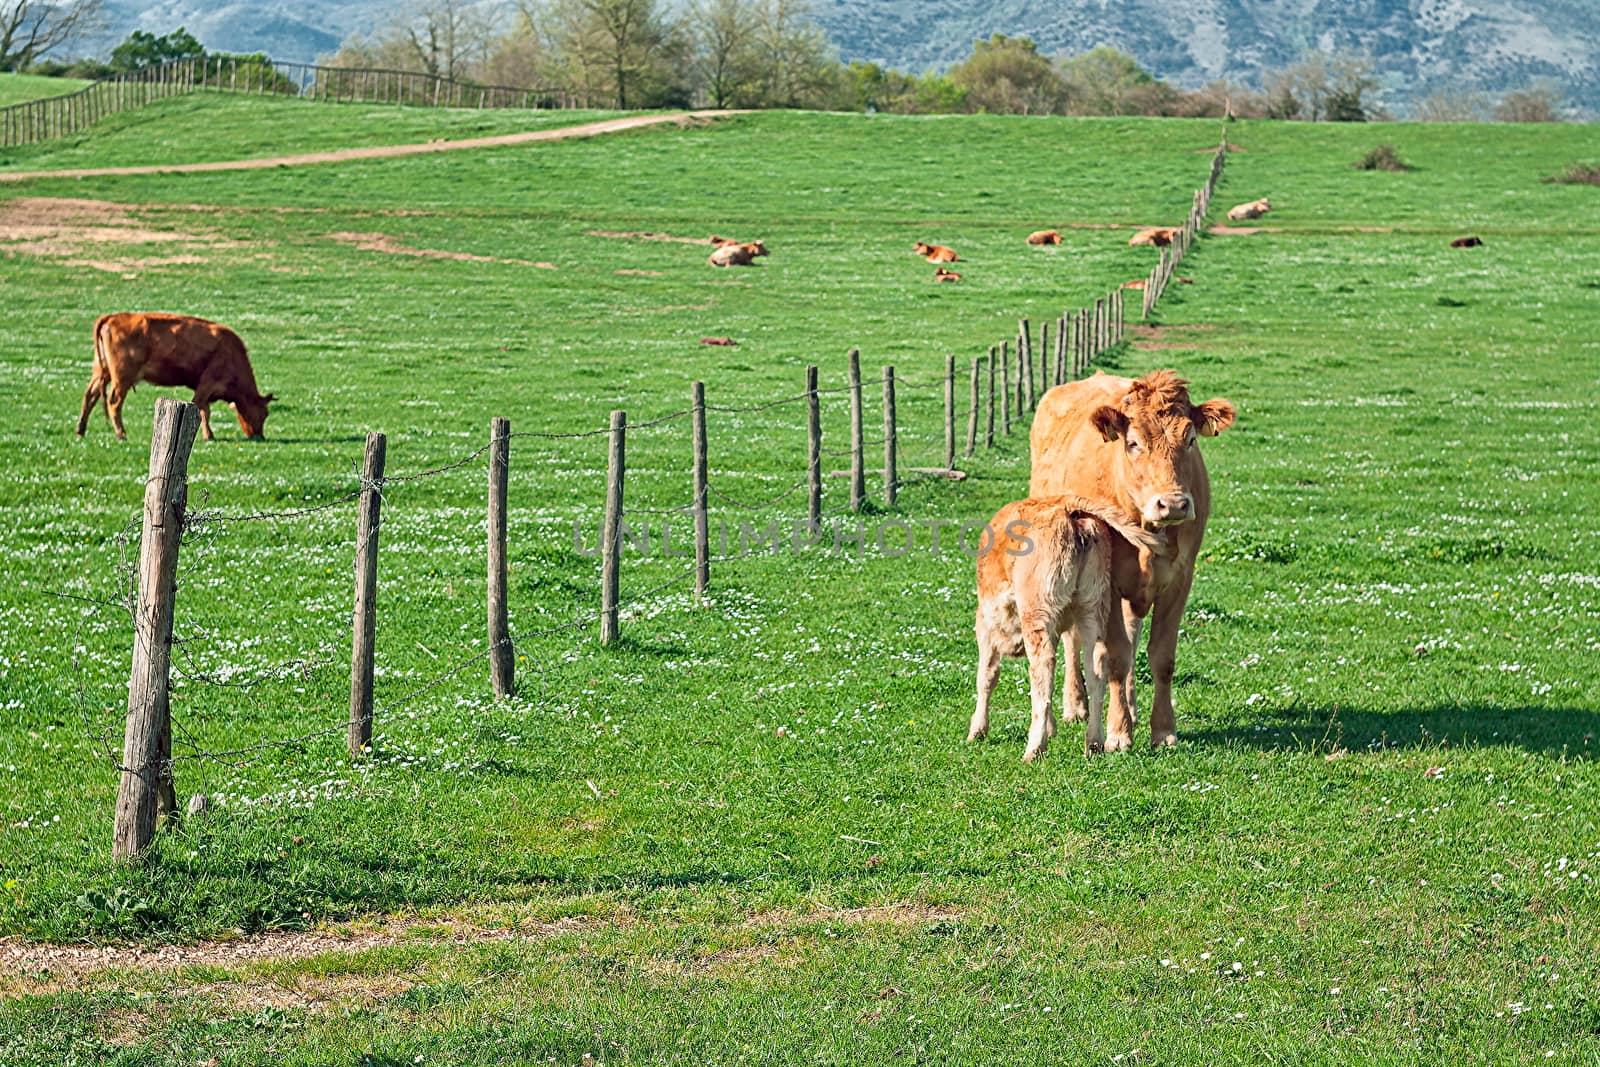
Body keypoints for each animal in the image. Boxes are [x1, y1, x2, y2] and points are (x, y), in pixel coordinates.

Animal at [76, 310, 275, 441]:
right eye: (264, 413)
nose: (259, 436)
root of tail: (113, 317)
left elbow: (204, 409)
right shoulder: (207, 384)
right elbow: (203, 410)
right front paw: (209, 436)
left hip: (101, 372)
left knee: (90, 396)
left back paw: (80, 430)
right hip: (122, 377)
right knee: (114, 402)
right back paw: (121, 434)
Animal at [966, 495, 1158, 764]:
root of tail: (1068, 508)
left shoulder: (985, 625)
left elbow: (986, 676)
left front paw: (977, 730)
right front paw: (1052, 728)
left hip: (1038, 611)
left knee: (1043, 671)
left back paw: (1035, 749)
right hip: (1092, 608)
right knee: (1096, 667)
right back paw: (1094, 742)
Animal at [1024, 374, 1235, 751]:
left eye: (1191, 439)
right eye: (1134, 443)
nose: (1173, 504)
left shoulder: (1180, 580)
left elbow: (1161, 656)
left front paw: (1162, 729)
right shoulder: (1107, 584)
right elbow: (1116, 657)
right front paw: (1118, 731)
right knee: (1074, 639)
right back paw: (1077, 705)